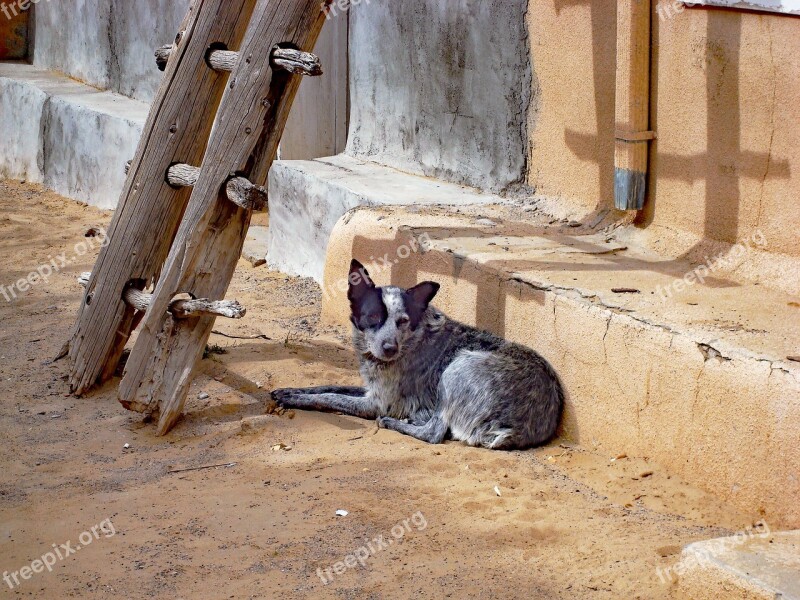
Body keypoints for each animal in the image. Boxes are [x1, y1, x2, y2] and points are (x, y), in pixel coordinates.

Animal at [272, 258, 564, 450]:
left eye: (402, 320)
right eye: (373, 317)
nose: (389, 348)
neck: (412, 339)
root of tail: (516, 430)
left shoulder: (377, 403)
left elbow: (328, 397)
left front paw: (295, 399)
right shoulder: (371, 389)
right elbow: (327, 386)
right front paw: (289, 391)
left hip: (456, 369)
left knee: (434, 433)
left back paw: (395, 423)